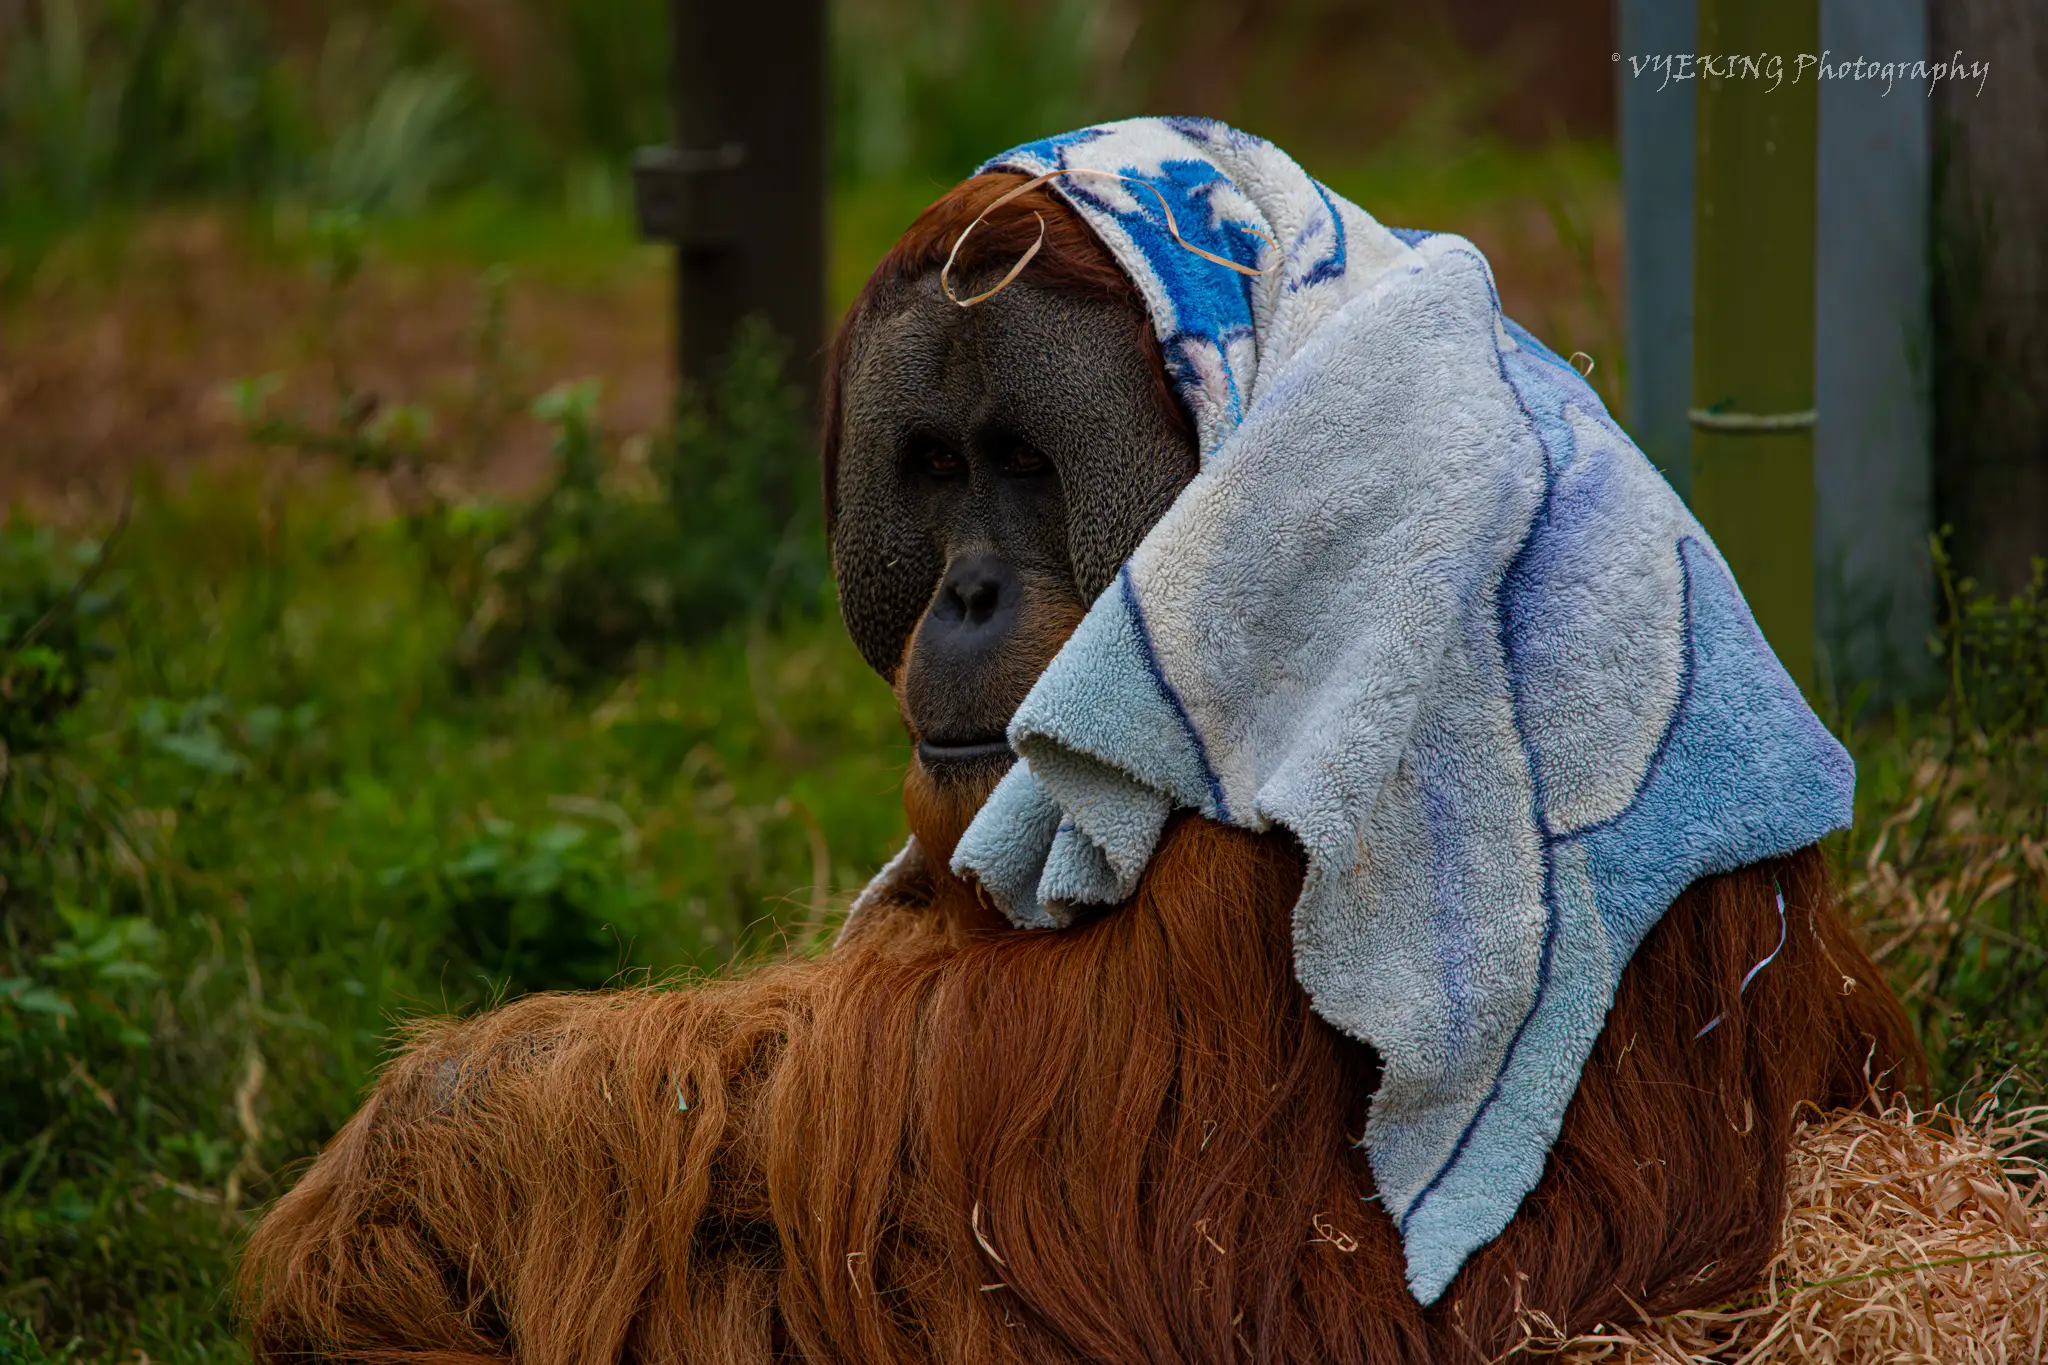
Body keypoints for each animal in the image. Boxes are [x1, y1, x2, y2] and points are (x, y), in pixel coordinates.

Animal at [238, 170, 1919, 1364]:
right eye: (934, 468)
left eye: (1029, 467)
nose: (969, 594)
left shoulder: (1296, 628)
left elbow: (1113, 1227)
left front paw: (413, 1137)